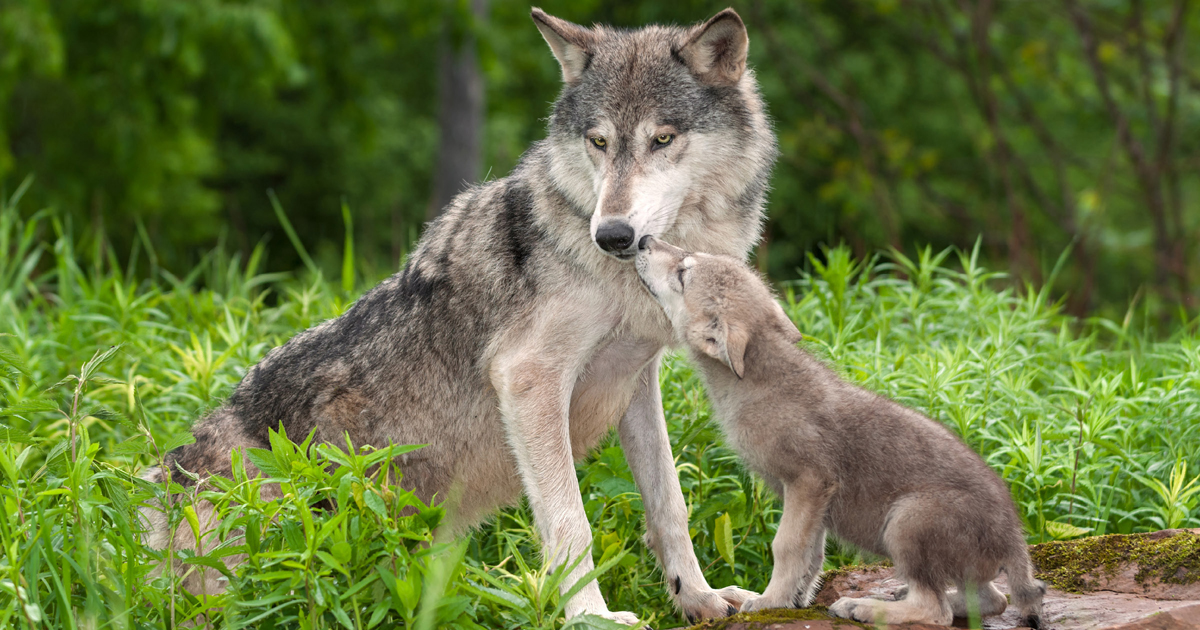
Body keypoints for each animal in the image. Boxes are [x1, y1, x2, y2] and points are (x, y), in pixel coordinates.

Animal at [140, 6, 777, 624]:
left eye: (662, 138)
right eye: (598, 141)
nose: (612, 235)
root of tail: (156, 494)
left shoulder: (636, 379)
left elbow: (669, 502)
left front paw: (698, 597)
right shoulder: (528, 380)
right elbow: (571, 523)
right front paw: (591, 616)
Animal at [638, 237, 1041, 628]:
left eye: (683, 273)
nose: (642, 240)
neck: (757, 383)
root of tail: (1014, 537)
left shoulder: (808, 481)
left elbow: (785, 546)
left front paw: (769, 602)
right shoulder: (814, 500)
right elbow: (812, 555)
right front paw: (794, 600)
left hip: (905, 522)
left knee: (935, 610)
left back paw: (862, 606)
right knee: (993, 600)